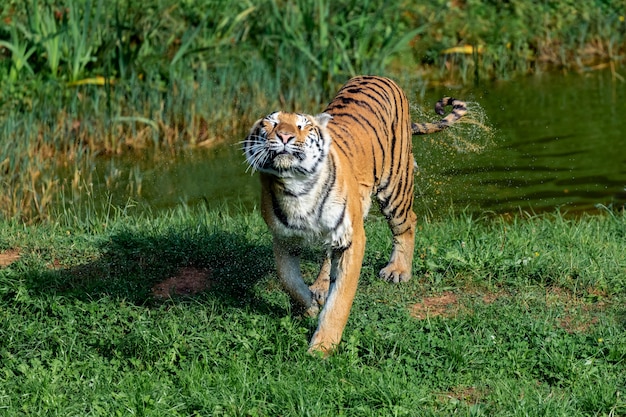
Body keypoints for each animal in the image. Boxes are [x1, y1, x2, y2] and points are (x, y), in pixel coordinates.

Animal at [241, 75, 466, 354]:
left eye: (303, 126)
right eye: (270, 124)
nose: (285, 136)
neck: (296, 188)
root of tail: (380, 76)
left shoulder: (351, 238)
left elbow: (339, 300)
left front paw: (322, 347)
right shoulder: (284, 240)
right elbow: (288, 280)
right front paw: (309, 307)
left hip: (395, 186)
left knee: (407, 222)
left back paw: (398, 270)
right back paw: (320, 286)